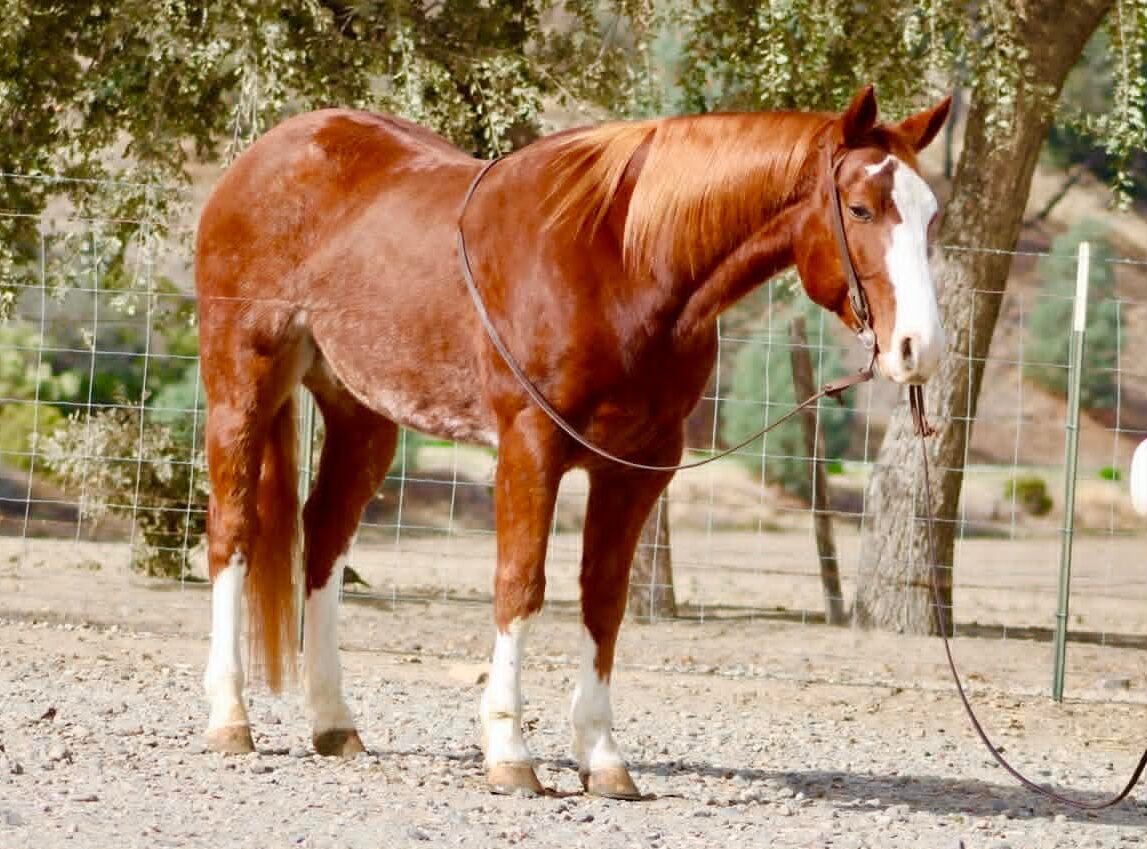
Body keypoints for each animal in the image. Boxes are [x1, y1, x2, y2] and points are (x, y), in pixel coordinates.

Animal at [194, 84, 950, 799]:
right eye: (860, 209)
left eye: (931, 215)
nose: (919, 348)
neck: (623, 264)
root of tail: (262, 158)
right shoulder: (530, 447)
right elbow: (521, 584)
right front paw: (509, 752)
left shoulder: (639, 467)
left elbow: (603, 599)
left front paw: (602, 756)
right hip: (241, 386)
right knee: (234, 531)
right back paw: (229, 717)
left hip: (362, 414)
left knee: (323, 536)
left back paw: (333, 722)